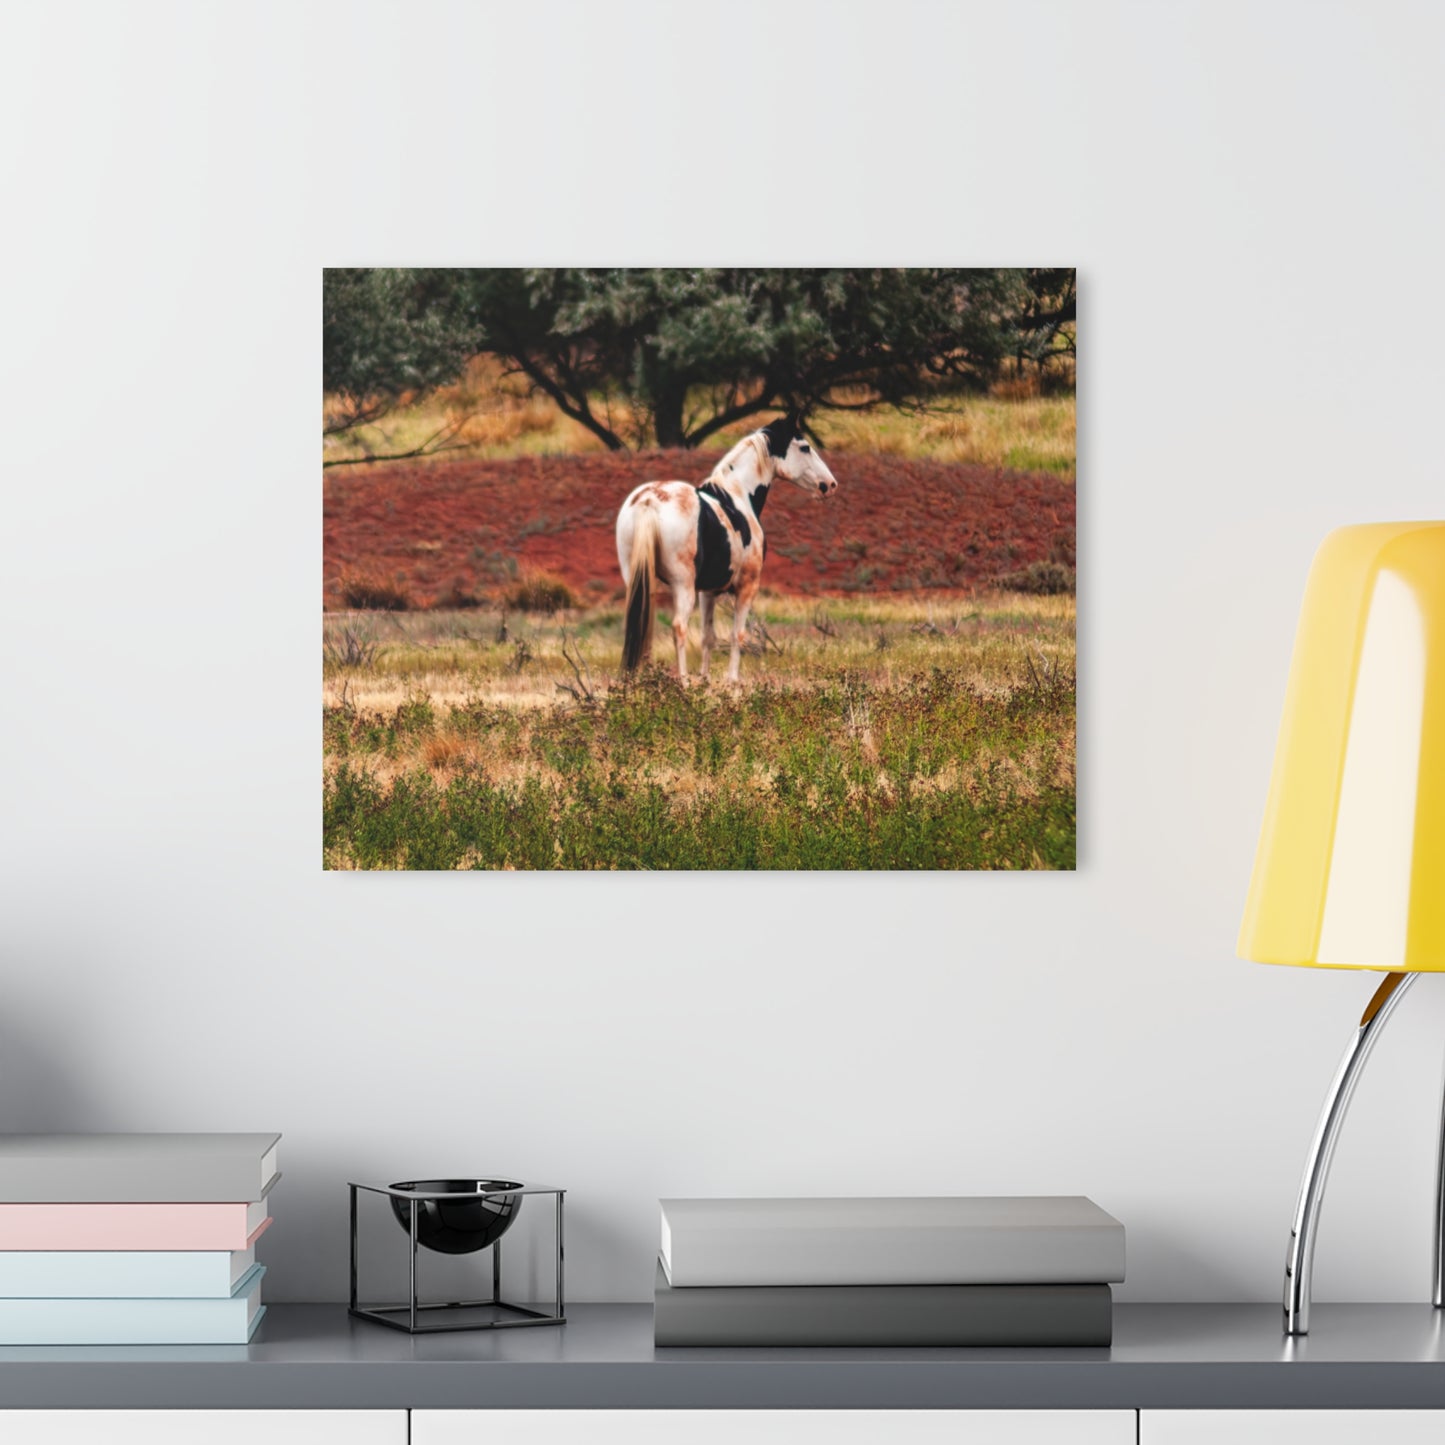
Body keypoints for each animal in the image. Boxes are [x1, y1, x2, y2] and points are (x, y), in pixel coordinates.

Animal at [615, 414, 839, 683]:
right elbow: (737, 635)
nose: (830, 485)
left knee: (641, 623)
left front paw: (705, 680)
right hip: (682, 584)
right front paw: (732, 681)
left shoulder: (708, 592)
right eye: (805, 447)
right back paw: (683, 681)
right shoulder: (746, 587)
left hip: (639, 579)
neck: (737, 496)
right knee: (679, 627)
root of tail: (649, 500)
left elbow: (707, 637)